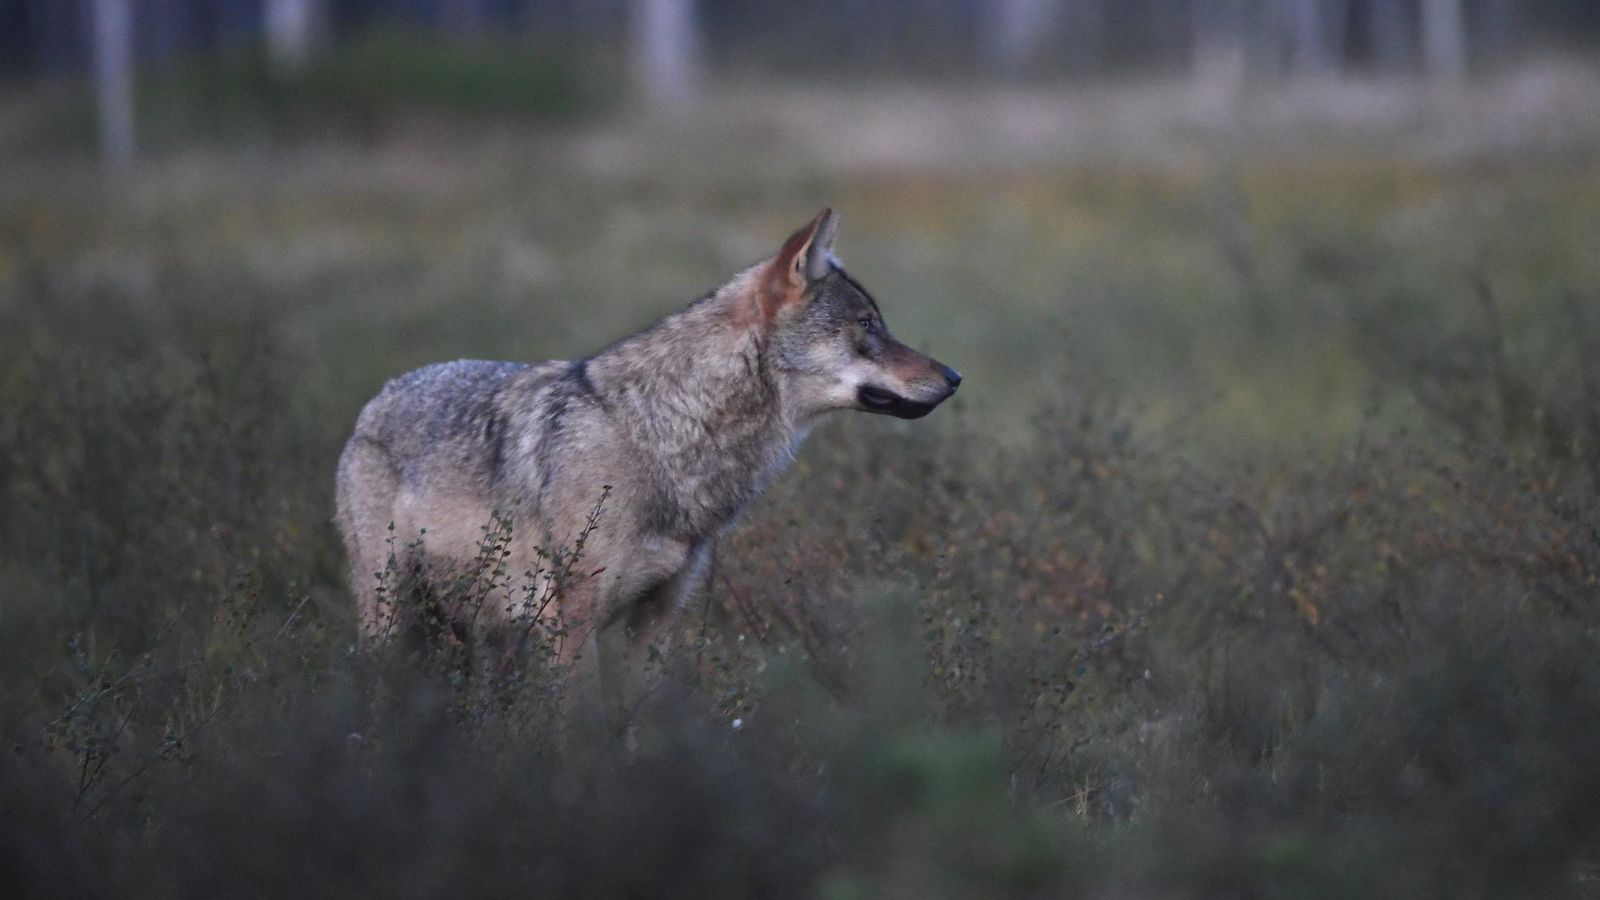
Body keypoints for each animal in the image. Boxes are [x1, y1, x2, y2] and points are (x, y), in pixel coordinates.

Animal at [336, 206, 953, 717]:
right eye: (867, 325)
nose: (955, 377)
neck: (659, 437)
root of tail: (378, 397)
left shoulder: (656, 621)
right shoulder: (572, 626)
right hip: (391, 616)